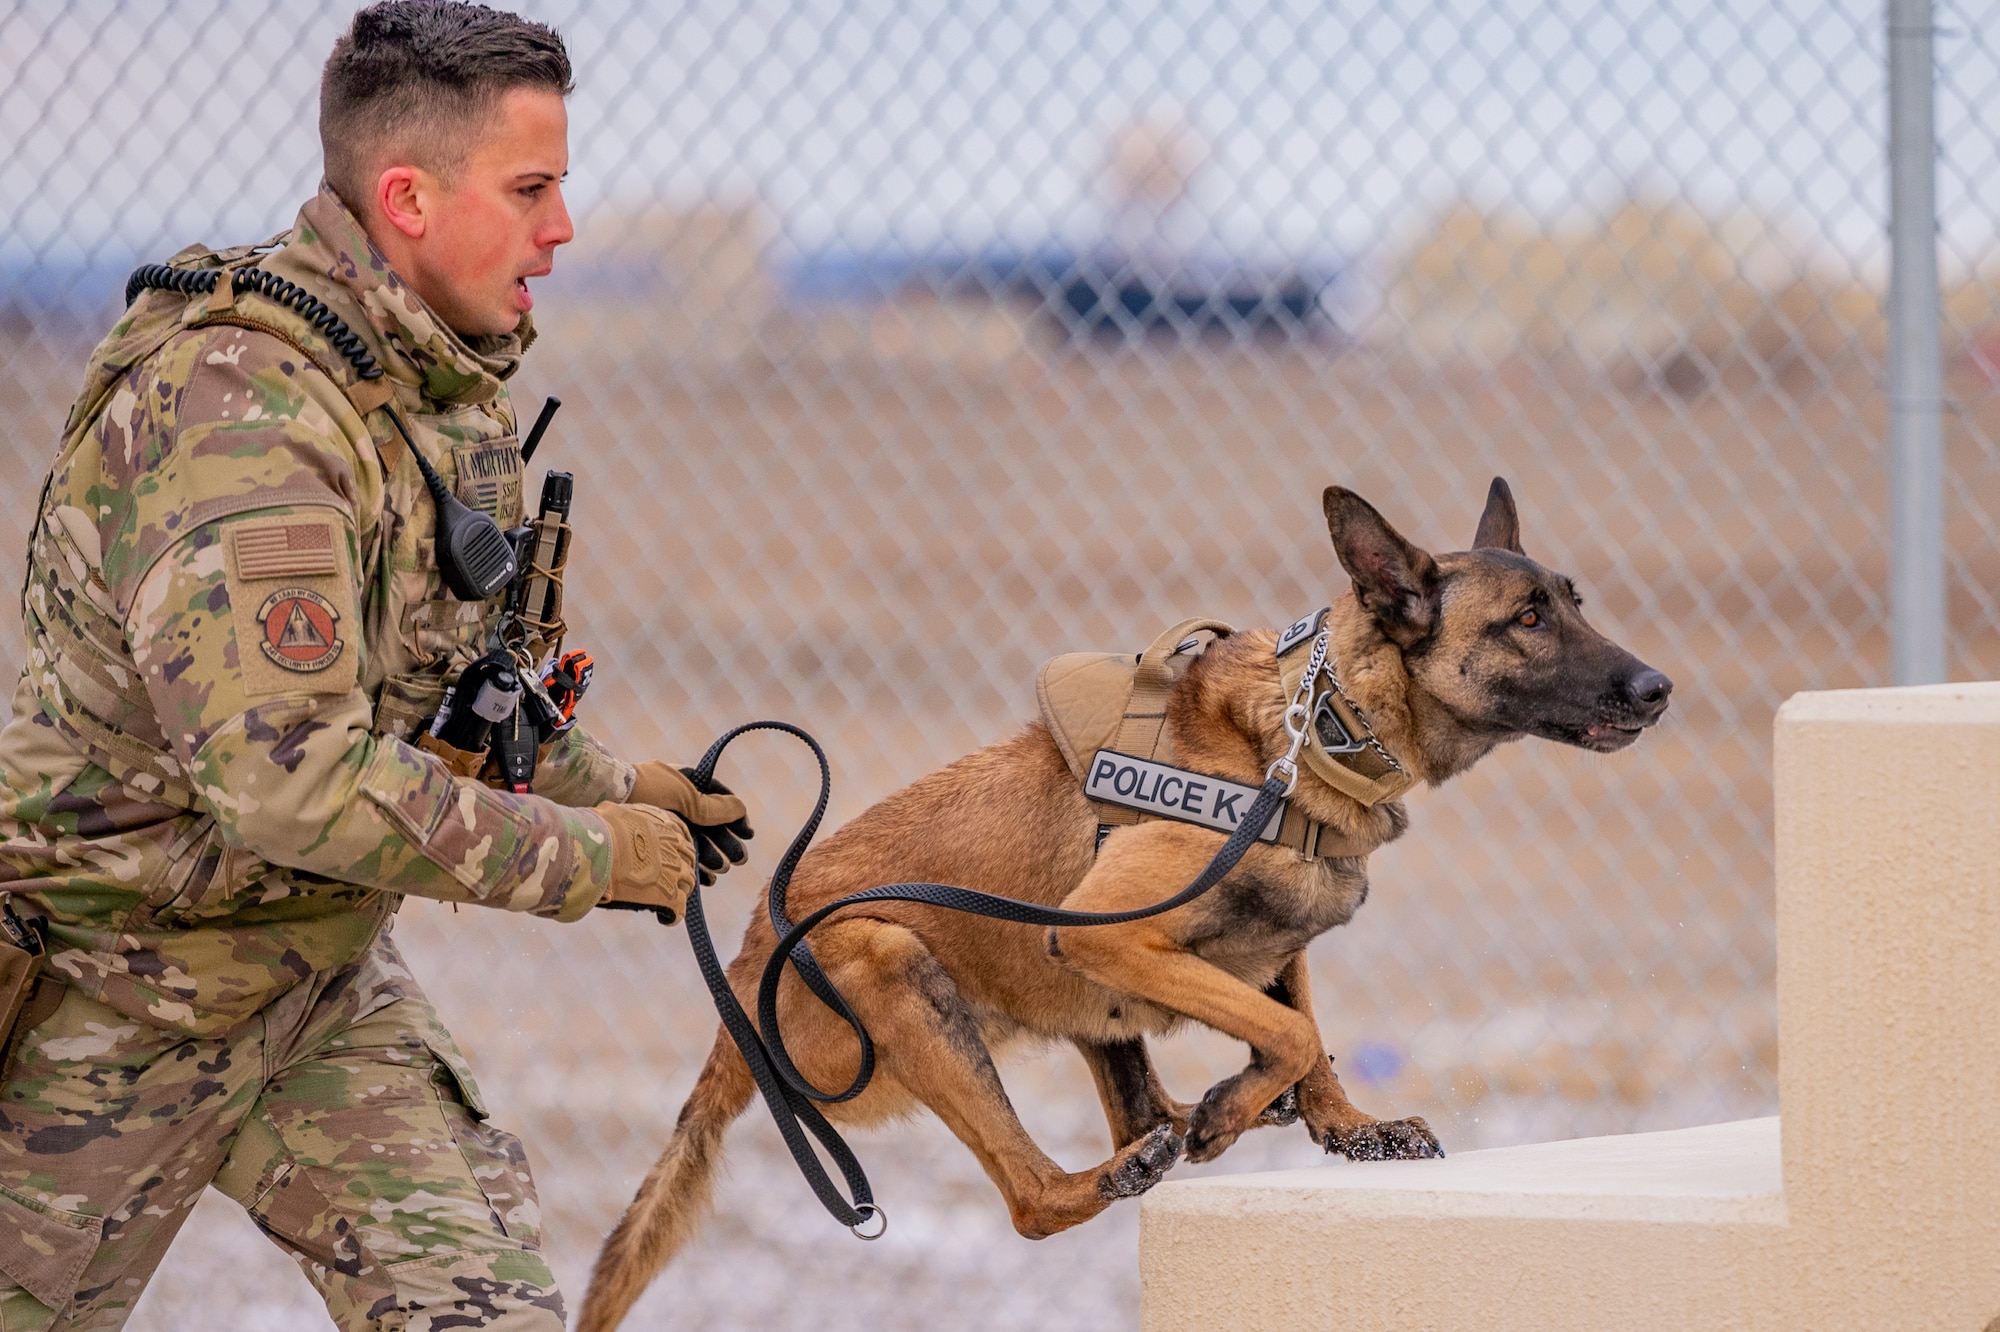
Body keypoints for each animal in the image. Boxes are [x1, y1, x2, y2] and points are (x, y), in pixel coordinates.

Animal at [580, 472, 1672, 1320]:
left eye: (1573, 602)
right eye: (1526, 620)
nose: (1658, 687)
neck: (1312, 729)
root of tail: (734, 1002)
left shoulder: (1272, 946)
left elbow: (1304, 1032)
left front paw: (1343, 1126)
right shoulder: (1108, 938)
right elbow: (1291, 1034)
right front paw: (1247, 1107)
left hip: (1072, 1015)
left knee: (1139, 1104)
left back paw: (1198, 1118)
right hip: (890, 958)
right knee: (1034, 1199)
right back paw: (1133, 1162)